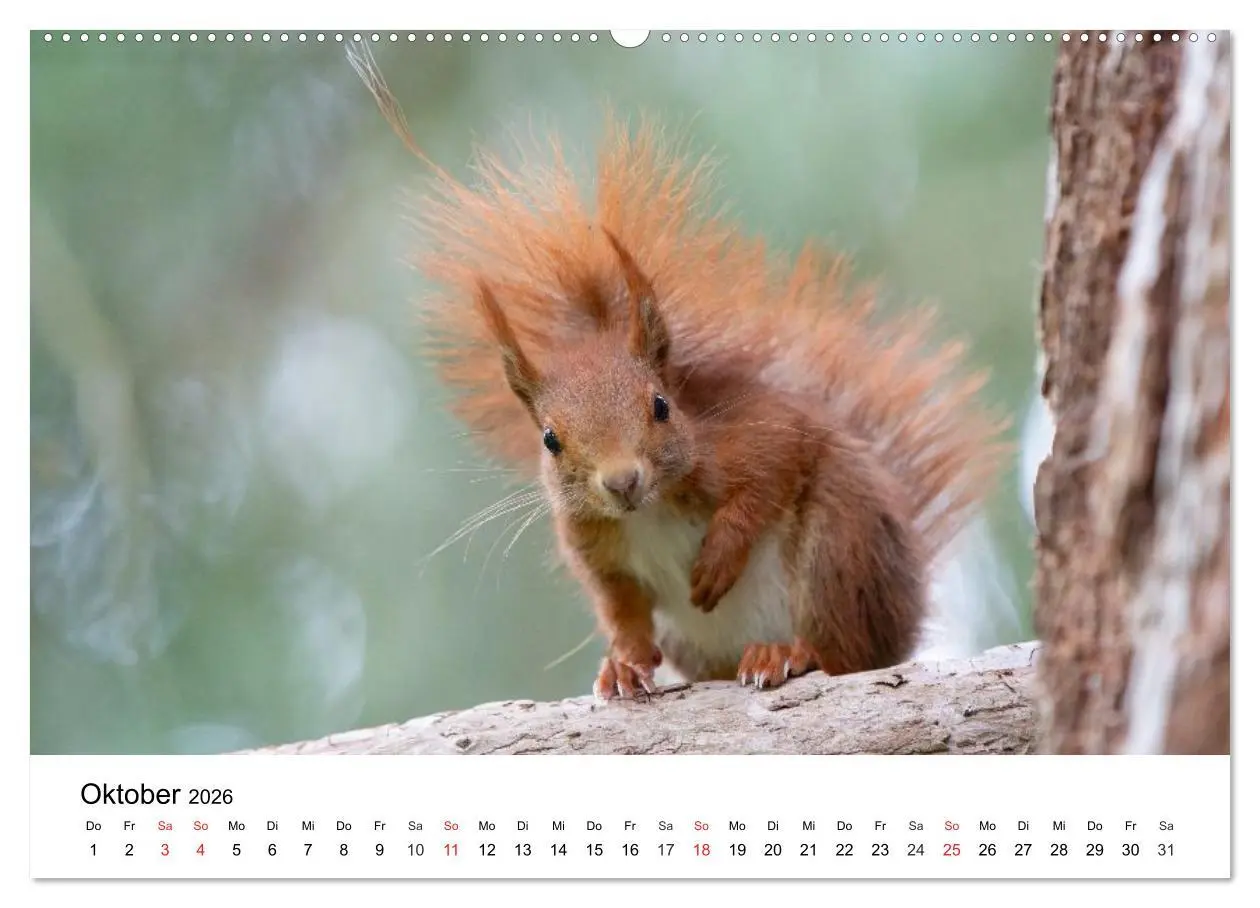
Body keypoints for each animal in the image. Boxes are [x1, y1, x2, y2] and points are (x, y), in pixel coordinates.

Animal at [350, 48, 1008, 700]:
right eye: (550, 440)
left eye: (662, 405)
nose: (622, 481)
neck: (651, 509)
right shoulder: (595, 548)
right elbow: (622, 611)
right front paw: (623, 663)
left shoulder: (757, 431)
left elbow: (770, 472)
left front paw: (720, 554)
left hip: (841, 544)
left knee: (841, 651)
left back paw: (788, 652)